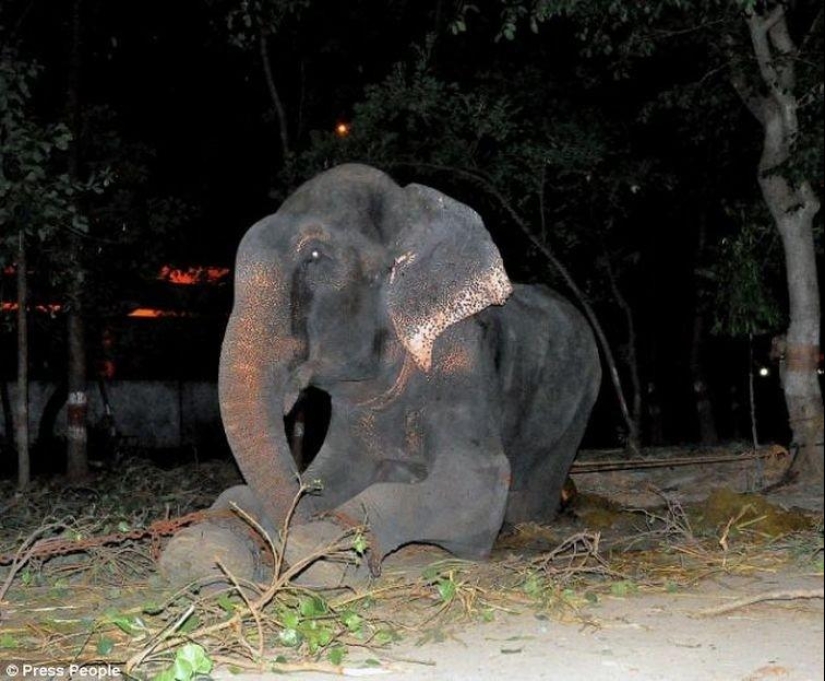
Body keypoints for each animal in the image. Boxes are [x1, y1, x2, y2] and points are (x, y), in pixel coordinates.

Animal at [158, 163, 600, 584]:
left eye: (314, 256)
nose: (276, 547)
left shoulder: (460, 358)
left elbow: (477, 483)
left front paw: (322, 551)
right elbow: (329, 472)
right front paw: (201, 548)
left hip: (580, 403)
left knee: (533, 494)